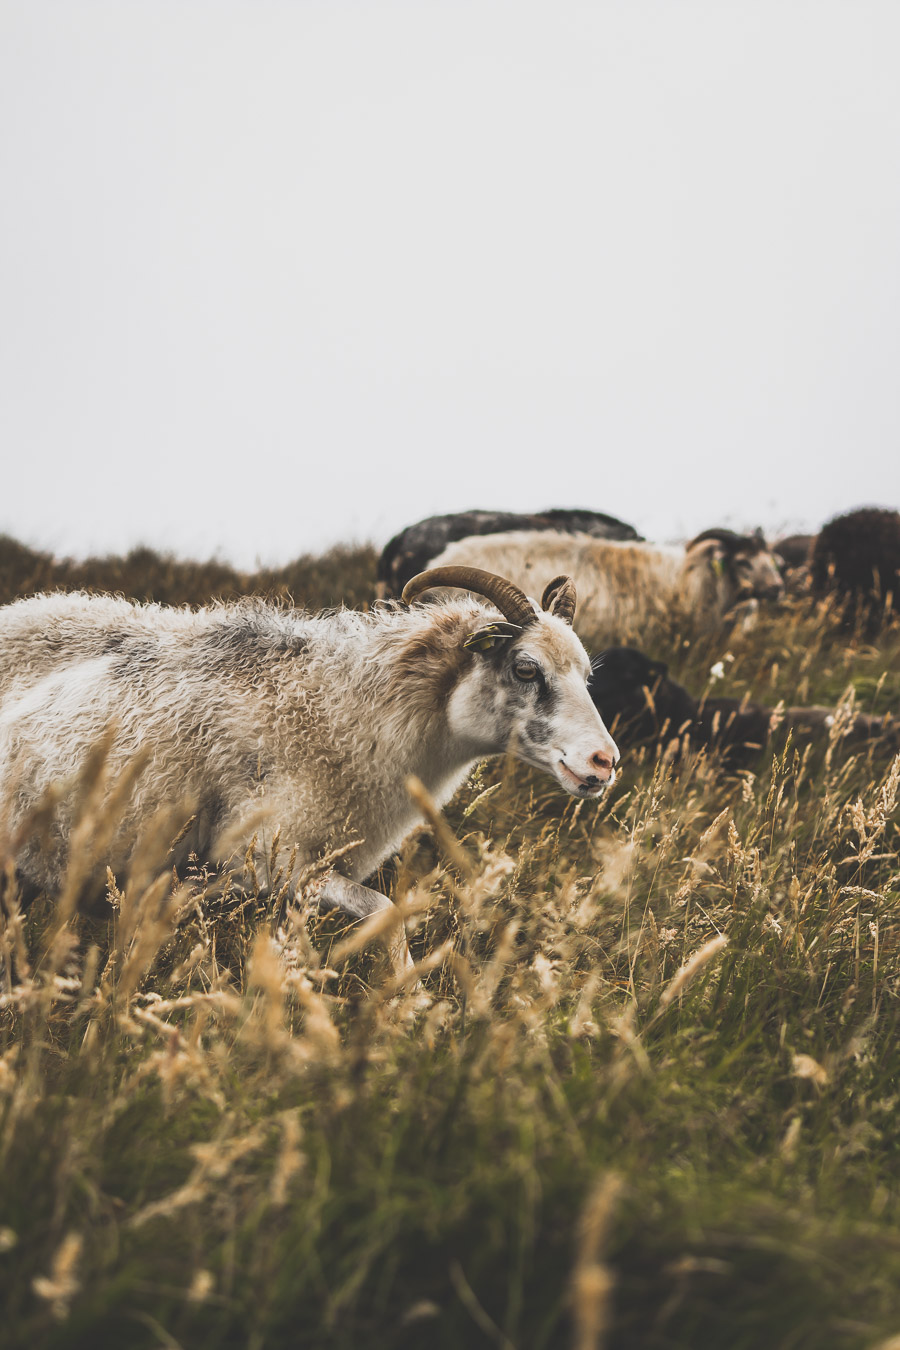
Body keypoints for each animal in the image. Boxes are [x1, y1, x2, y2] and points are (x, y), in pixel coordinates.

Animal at [0, 567, 620, 972]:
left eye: (588, 673)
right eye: (525, 668)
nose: (605, 762)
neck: (347, 708)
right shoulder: (276, 861)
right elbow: (385, 911)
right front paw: (407, 999)